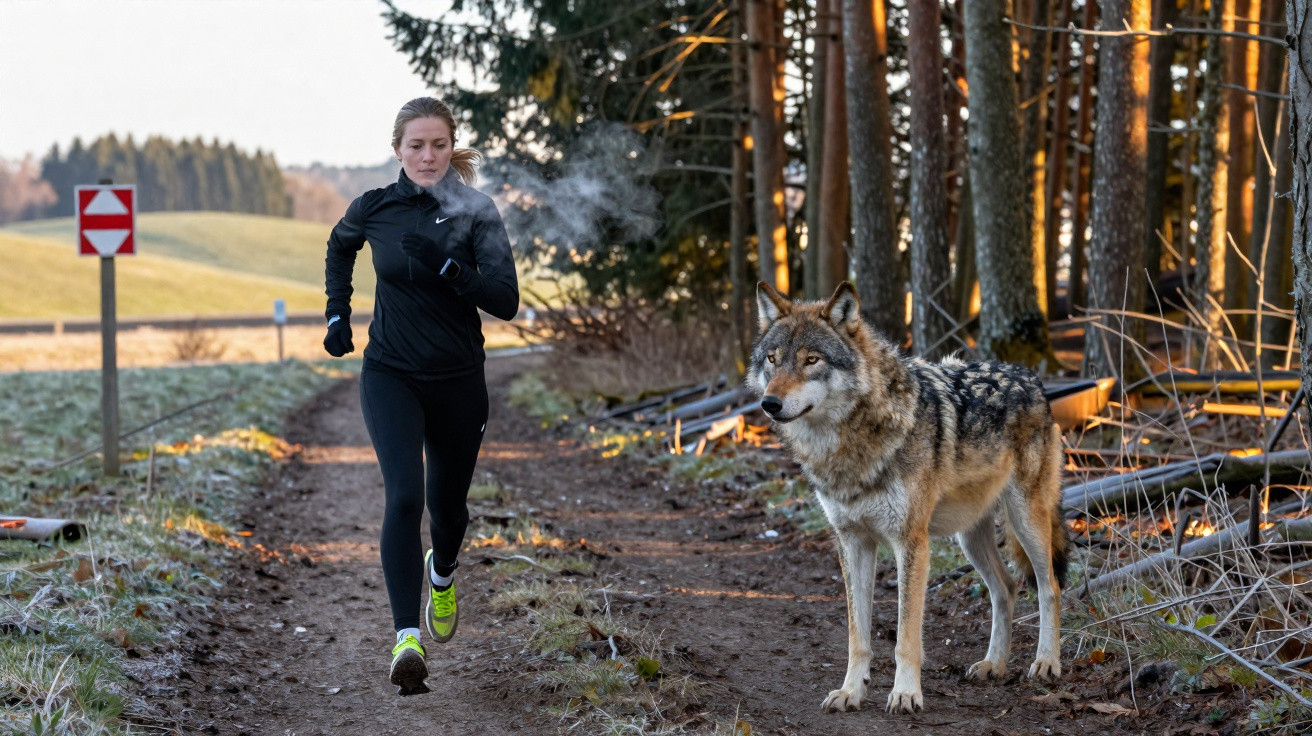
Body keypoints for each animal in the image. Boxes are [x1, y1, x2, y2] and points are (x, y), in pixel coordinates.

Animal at [746, 281, 1068, 714]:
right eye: (772, 360)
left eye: (811, 360)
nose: (769, 403)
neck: (850, 444)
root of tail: (1029, 375)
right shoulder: (852, 542)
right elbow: (857, 636)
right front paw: (850, 691)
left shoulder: (911, 542)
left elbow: (905, 636)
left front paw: (905, 693)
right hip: (969, 538)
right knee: (1006, 588)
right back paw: (994, 665)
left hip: (1025, 519)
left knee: (1049, 586)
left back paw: (1047, 662)